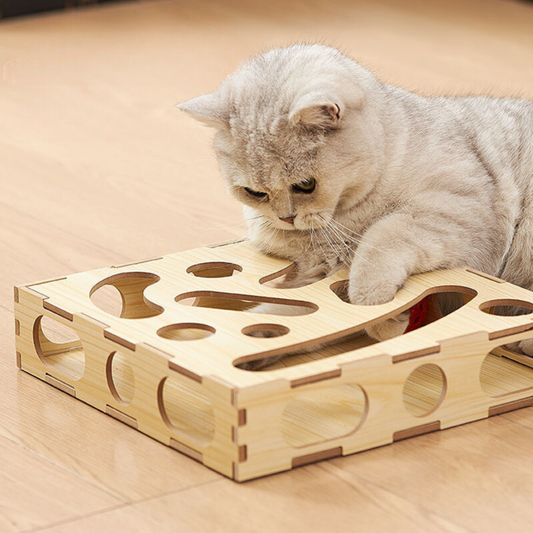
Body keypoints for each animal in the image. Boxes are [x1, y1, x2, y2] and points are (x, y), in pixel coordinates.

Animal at [177, 42, 532, 366]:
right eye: (254, 193)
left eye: (305, 185)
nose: (286, 217)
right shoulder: (313, 278)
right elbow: (292, 315)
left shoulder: (458, 207)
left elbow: (383, 238)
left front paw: (373, 298)